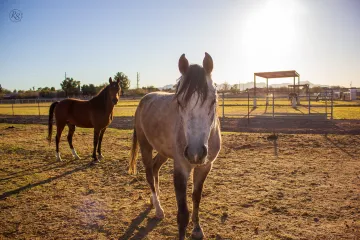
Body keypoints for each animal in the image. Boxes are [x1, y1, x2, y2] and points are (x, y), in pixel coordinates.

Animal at [128, 53, 221, 240]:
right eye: (179, 102)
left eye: (213, 100)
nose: (195, 153)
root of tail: (145, 98)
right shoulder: (181, 169)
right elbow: (182, 214)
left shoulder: (205, 167)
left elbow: (196, 198)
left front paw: (197, 229)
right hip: (145, 146)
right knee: (149, 173)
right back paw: (158, 209)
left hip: (163, 152)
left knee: (155, 168)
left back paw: (154, 199)